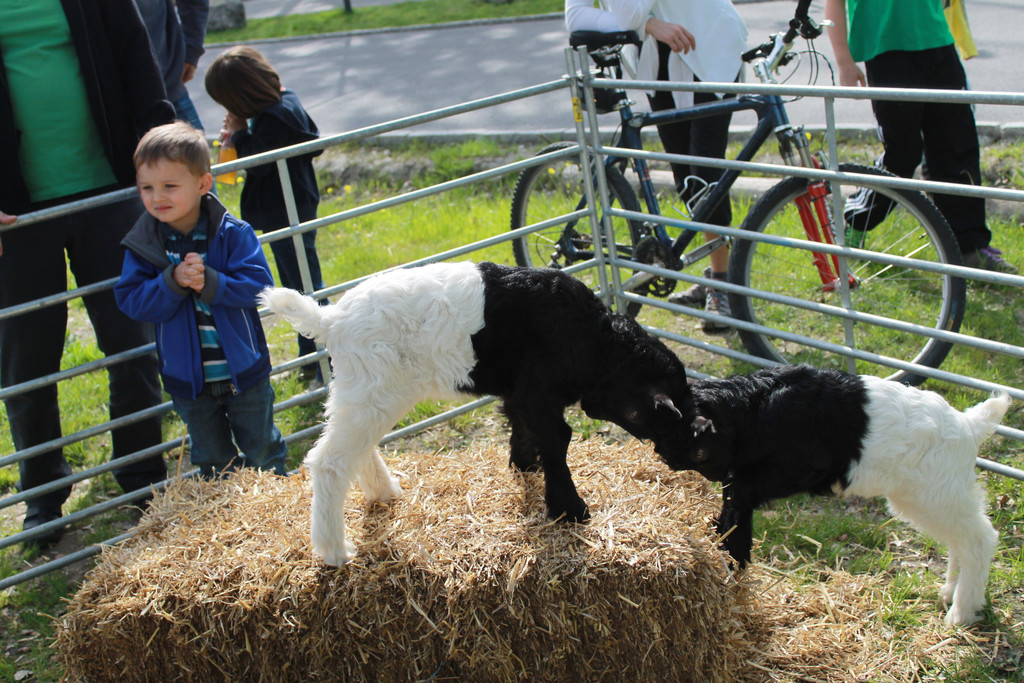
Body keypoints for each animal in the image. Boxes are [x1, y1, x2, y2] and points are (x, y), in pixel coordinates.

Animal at [259, 261, 694, 566]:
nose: (679, 456)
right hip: (373, 389)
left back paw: (383, 492)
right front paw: (570, 511)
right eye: (662, 415)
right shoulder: (539, 391)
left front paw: (523, 466)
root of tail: (330, 320)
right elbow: (557, 441)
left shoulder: (520, 391)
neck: (594, 339)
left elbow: (522, 426)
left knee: (353, 449)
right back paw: (335, 551)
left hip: (362, 392)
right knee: (330, 462)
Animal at [653, 364, 1010, 626]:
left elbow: (739, 497)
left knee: (980, 539)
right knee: (960, 540)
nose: (664, 457)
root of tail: (970, 425)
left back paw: (960, 614)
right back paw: (949, 592)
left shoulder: (790, 469)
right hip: (931, 497)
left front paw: (734, 554)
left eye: (680, 448)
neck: (756, 408)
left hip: (937, 493)